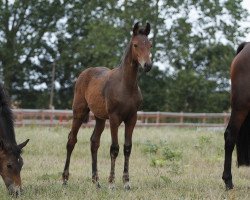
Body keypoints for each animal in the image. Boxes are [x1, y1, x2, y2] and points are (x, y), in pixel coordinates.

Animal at [62, 22, 152, 189]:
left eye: (150, 45)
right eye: (135, 45)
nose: (147, 65)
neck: (126, 86)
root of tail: (84, 73)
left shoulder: (132, 118)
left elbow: (127, 147)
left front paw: (126, 182)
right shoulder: (115, 119)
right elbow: (114, 148)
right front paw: (111, 183)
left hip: (100, 118)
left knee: (94, 142)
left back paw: (96, 181)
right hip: (79, 112)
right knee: (71, 140)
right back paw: (65, 179)